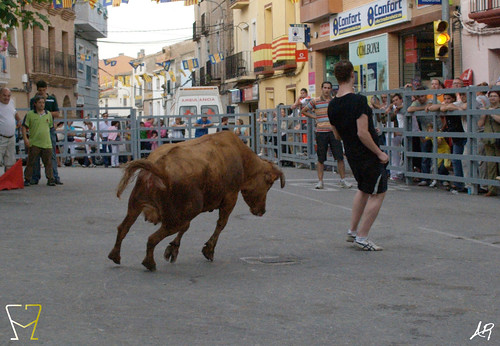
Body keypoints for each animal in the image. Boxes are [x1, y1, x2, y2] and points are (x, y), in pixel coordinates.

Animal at [107, 130, 284, 270]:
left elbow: (186, 228)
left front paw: (173, 249)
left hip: (136, 205)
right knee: (152, 238)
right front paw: (208, 250)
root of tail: (159, 167)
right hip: (177, 217)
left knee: (123, 228)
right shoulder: (230, 197)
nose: (262, 211)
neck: (242, 158)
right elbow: (221, 224)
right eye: (269, 184)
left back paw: (115, 256)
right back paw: (149, 263)